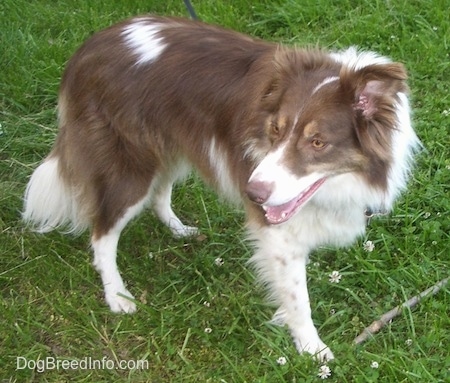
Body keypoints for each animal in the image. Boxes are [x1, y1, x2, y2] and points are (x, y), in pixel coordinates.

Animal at [22, 15, 420, 364]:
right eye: (275, 130)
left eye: (318, 142)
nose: (252, 194)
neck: (351, 177)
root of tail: (86, 50)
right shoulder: (278, 233)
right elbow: (298, 295)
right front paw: (311, 347)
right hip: (129, 166)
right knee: (102, 232)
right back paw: (118, 295)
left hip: (170, 143)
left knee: (160, 192)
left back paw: (178, 229)